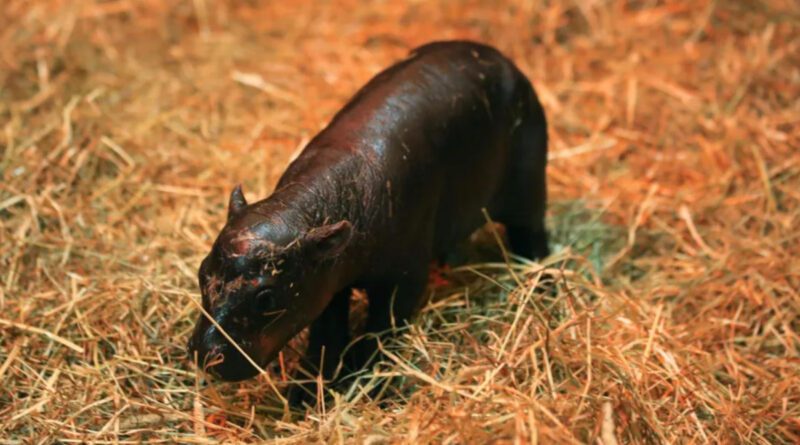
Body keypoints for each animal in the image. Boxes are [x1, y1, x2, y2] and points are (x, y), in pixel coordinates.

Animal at [188, 40, 552, 392]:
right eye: (202, 272)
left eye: (266, 298)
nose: (206, 355)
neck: (304, 210)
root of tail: (504, 59)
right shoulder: (326, 281)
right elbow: (327, 333)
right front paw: (306, 392)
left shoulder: (403, 278)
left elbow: (381, 329)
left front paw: (361, 383)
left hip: (529, 188)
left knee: (532, 236)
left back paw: (541, 285)